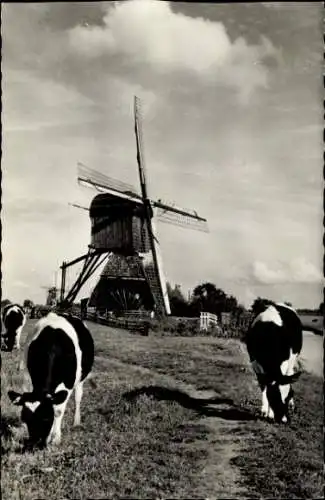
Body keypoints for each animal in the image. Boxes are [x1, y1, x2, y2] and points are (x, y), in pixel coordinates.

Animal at [7, 312, 94, 450]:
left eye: (47, 419)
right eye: (25, 418)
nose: (35, 444)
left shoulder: (67, 386)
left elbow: (58, 411)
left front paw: (56, 438)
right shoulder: (27, 378)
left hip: (81, 379)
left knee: (78, 398)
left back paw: (76, 421)